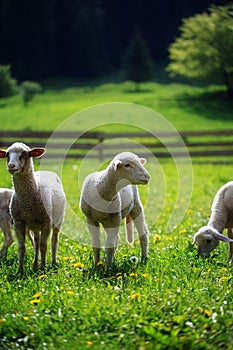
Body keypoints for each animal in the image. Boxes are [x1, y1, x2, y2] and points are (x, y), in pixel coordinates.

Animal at [0, 142, 66, 274]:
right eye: (7, 154)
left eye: (25, 154)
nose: (11, 166)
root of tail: (47, 171)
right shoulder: (18, 222)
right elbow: (22, 247)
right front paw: (20, 271)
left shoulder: (46, 222)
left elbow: (44, 246)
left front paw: (43, 269)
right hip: (34, 225)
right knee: (36, 242)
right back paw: (35, 264)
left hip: (58, 221)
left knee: (54, 241)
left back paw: (53, 262)